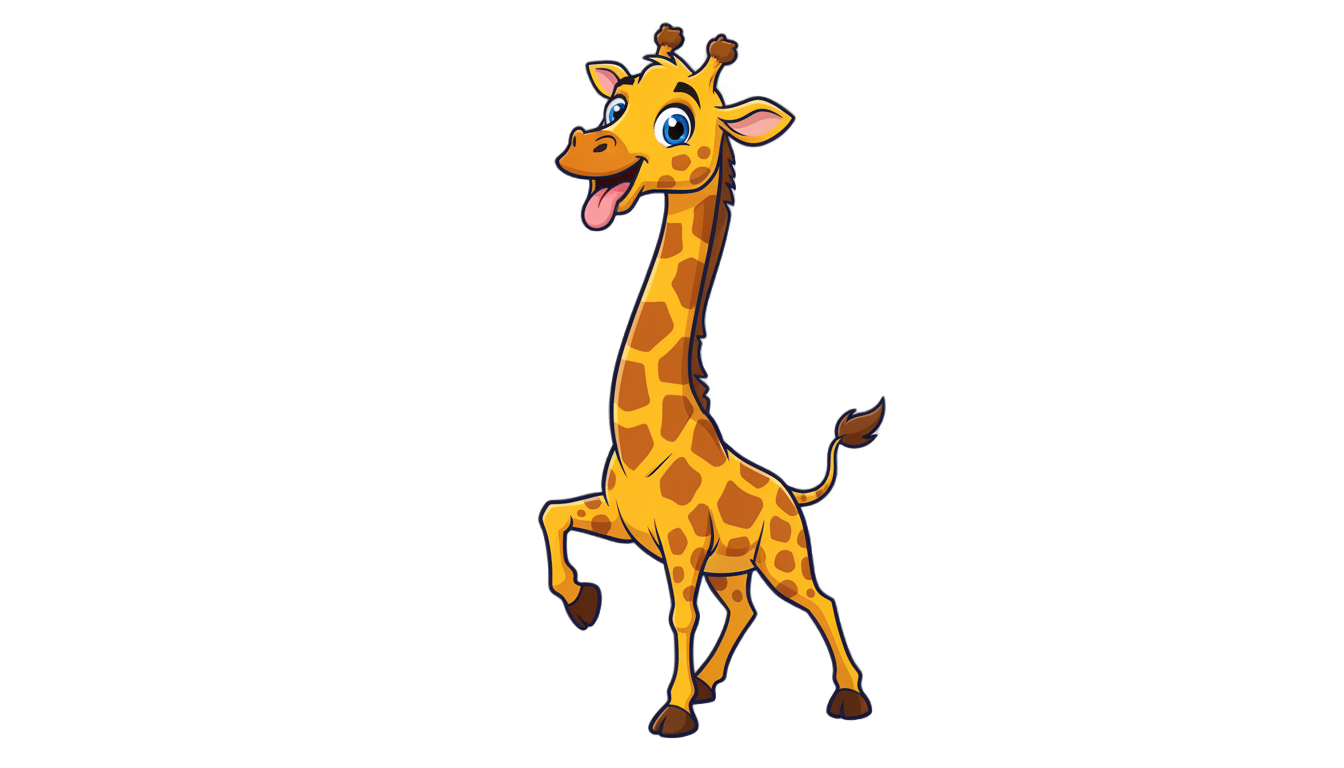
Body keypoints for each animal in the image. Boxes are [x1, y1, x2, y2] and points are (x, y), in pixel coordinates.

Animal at [540, 25, 886, 737]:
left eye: (676, 124)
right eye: (616, 104)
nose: (585, 147)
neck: (649, 441)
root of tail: (792, 493)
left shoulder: (683, 545)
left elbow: (679, 612)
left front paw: (671, 712)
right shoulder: (624, 520)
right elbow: (554, 513)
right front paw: (582, 602)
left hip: (782, 556)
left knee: (819, 601)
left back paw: (848, 697)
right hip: (735, 565)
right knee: (745, 608)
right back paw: (708, 682)